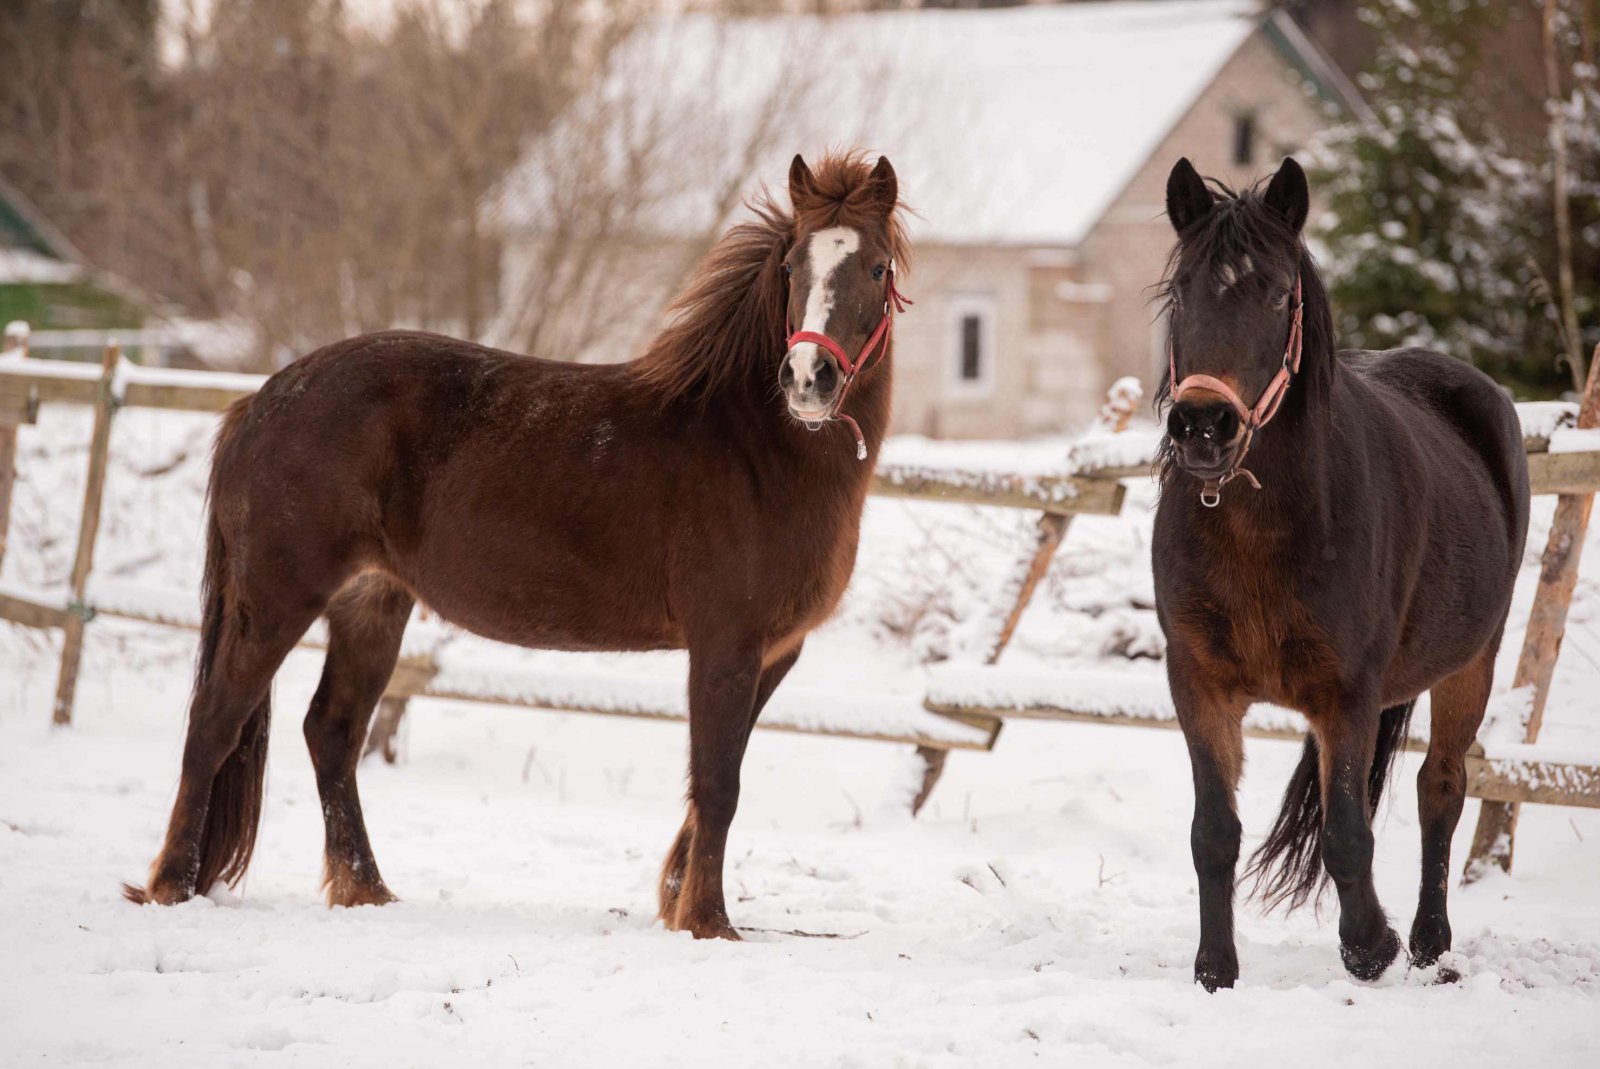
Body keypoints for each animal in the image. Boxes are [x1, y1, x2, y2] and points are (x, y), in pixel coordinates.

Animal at [126, 152, 915, 940]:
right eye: (791, 265)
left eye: (876, 268)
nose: (808, 379)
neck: (753, 445)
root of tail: (258, 403)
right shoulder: (725, 644)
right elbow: (719, 782)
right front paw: (708, 924)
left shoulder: (774, 653)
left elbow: (716, 779)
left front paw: (678, 904)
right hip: (278, 597)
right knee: (215, 723)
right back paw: (172, 887)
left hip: (371, 603)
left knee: (333, 731)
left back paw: (366, 890)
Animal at [1152, 154, 1523, 992]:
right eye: (1181, 290)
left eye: (1277, 294)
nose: (1203, 425)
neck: (1260, 530)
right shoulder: (1198, 680)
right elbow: (1212, 830)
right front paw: (1215, 970)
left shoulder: (1346, 691)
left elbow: (1349, 833)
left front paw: (1371, 946)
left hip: (1472, 662)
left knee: (1440, 788)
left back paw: (1428, 942)